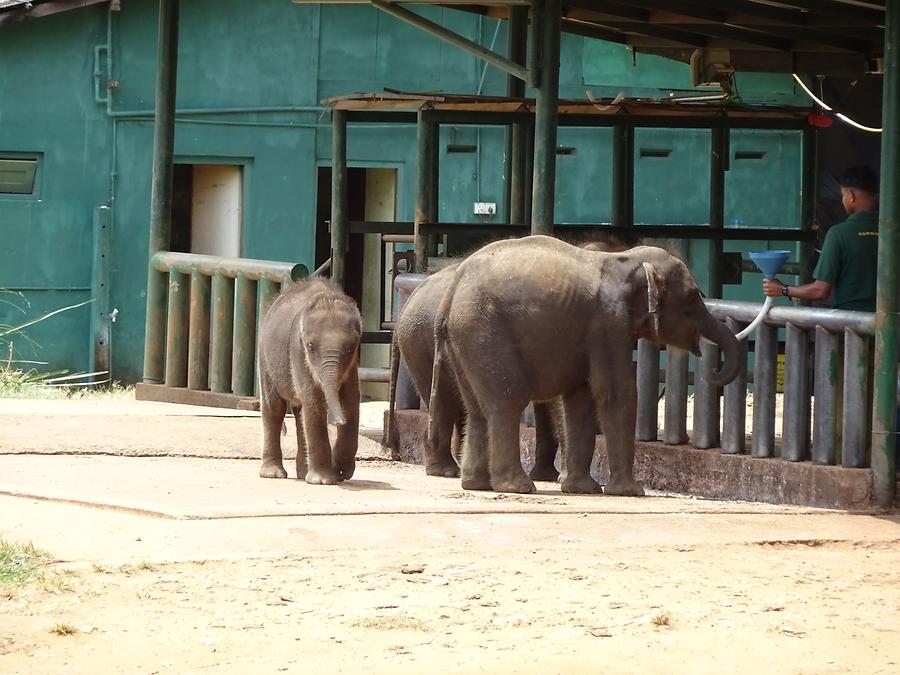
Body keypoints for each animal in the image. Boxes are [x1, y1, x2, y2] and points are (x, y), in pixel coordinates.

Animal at [256, 278, 362, 484]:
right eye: (310, 346)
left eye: (351, 347)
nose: (338, 421)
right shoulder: (297, 351)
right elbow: (313, 400)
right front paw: (322, 481)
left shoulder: (353, 365)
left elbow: (352, 400)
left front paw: (341, 473)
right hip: (265, 356)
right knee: (274, 408)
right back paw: (273, 474)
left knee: (299, 413)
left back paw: (303, 473)